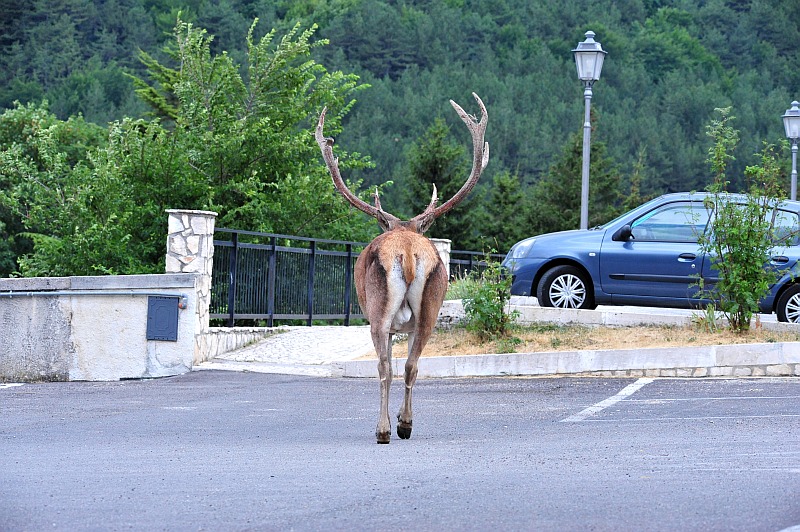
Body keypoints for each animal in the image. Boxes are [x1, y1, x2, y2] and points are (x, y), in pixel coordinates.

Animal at [318, 92, 488, 444]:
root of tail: (409, 253)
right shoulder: (409, 326)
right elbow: (410, 363)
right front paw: (402, 417)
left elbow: (388, 366)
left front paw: (389, 422)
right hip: (430, 311)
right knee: (412, 365)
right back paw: (406, 424)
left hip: (378, 311)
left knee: (385, 368)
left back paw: (383, 429)